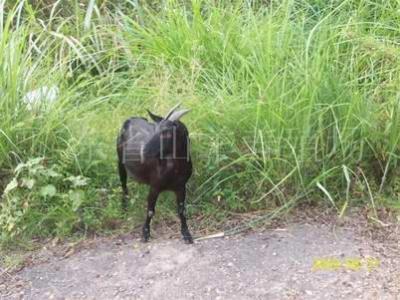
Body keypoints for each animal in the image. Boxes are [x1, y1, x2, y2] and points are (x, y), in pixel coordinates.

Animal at [116, 104, 193, 243]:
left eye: (167, 133)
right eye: (155, 129)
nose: (144, 151)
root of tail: (130, 119)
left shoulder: (181, 187)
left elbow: (181, 210)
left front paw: (186, 234)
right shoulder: (155, 187)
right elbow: (150, 211)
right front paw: (145, 234)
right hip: (120, 162)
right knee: (124, 185)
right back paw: (124, 208)